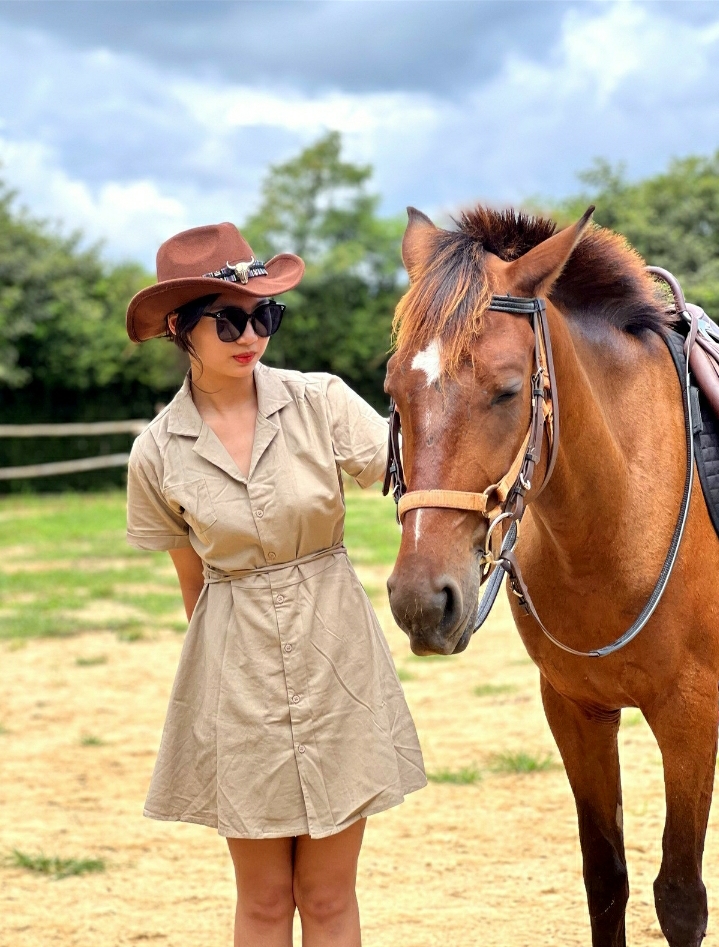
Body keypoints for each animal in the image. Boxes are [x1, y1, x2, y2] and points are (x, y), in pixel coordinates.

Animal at [384, 204, 719, 947]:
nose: (422, 599)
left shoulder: (691, 715)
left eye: (508, 390)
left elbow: (680, 896)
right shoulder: (574, 709)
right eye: (392, 391)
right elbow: (606, 879)